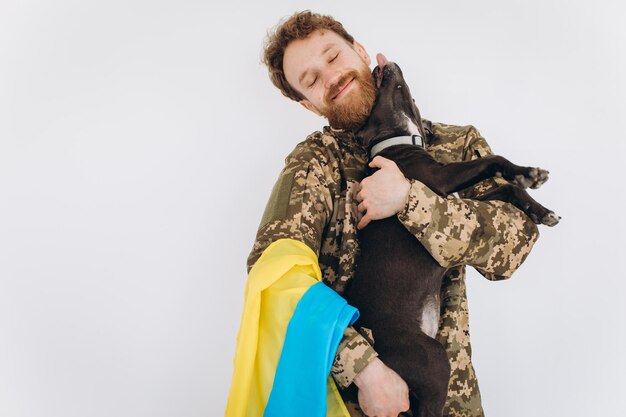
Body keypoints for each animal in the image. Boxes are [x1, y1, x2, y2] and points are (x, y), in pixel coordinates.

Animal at [346, 53, 556, 414]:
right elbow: (493, 159)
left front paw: (536, 203)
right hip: (433, 361)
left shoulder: (457, 200)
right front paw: (528, 175)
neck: (396, 141)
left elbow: (506, 189)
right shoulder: (440, 179)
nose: (379, 63)